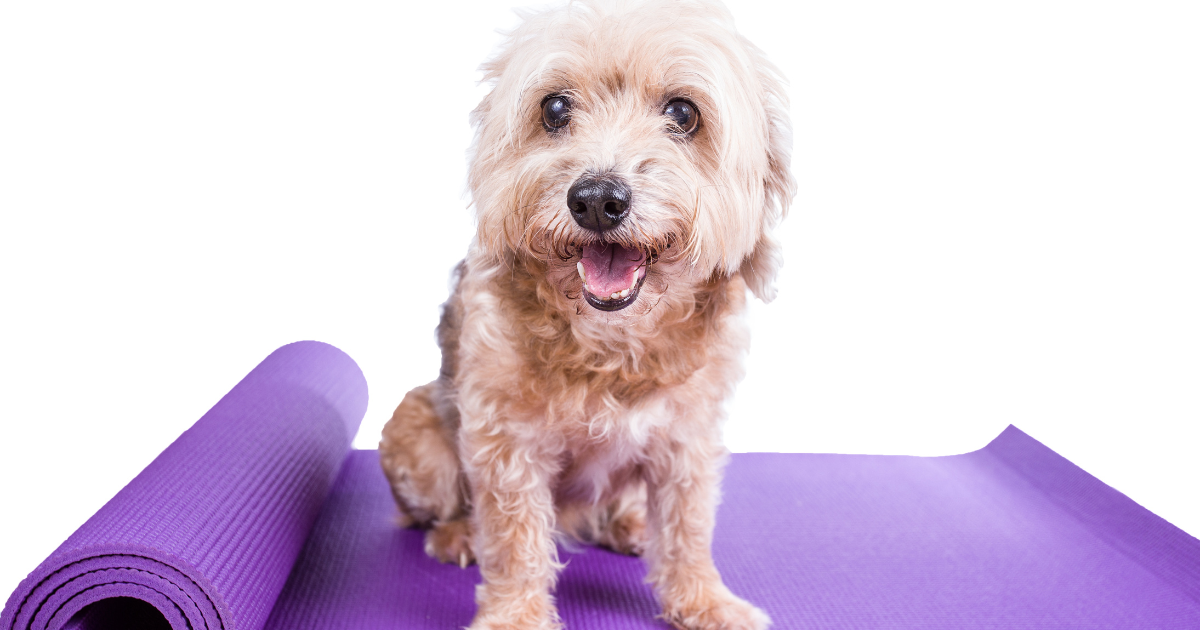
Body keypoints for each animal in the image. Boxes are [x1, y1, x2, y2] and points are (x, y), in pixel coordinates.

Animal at [384, 2, 796, 624]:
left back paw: (628, 525)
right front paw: (513, 616)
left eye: (683, 112)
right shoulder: (505, 443)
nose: (598, 200)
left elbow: (688, 527)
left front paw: (704, 599)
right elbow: (513, 539)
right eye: (555, 108)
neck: (610, 346)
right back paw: (458, 533)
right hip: (415, 437)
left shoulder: (689, 440)